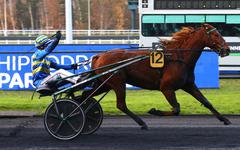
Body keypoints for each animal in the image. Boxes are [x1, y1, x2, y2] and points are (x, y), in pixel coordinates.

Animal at [82, 24, 231, 129]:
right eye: (216, 35)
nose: (227, 49)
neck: (179, 57)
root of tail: (99, 55)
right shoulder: (166, 88)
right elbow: (176, 109)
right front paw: (155, 111)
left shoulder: (188, 85)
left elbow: (206, 102)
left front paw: (225, 119)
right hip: (117, 83)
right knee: (121, 105)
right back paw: (142, 123)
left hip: (105, 84)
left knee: (86, 95)